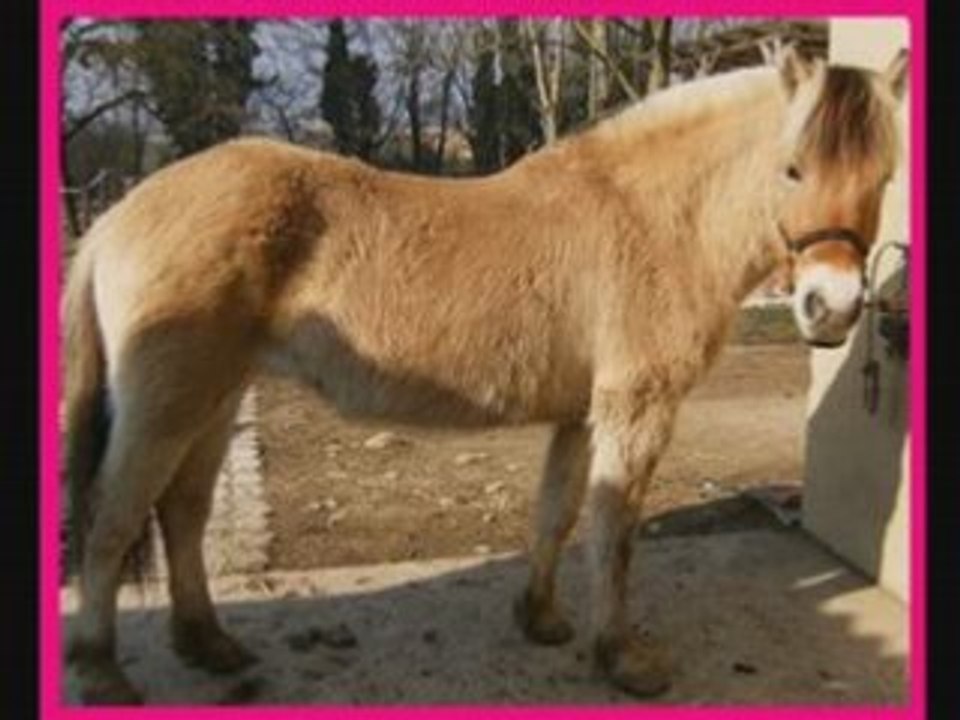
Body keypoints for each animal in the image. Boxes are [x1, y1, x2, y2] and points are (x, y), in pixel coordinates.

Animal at [63, 47, 908, 704]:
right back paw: (102, 672)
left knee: (182, 513)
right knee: (113, 520)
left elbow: (556, 514)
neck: (652, 219)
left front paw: (540, 620)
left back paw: (207, 643)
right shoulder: (637, 406)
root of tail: (116, 217)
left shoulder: (581, 413)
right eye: (792, 169)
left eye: (886, 176)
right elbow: (615, 529)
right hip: (169, 405)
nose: (831, 307)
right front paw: (621, 658)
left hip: (216, 399)